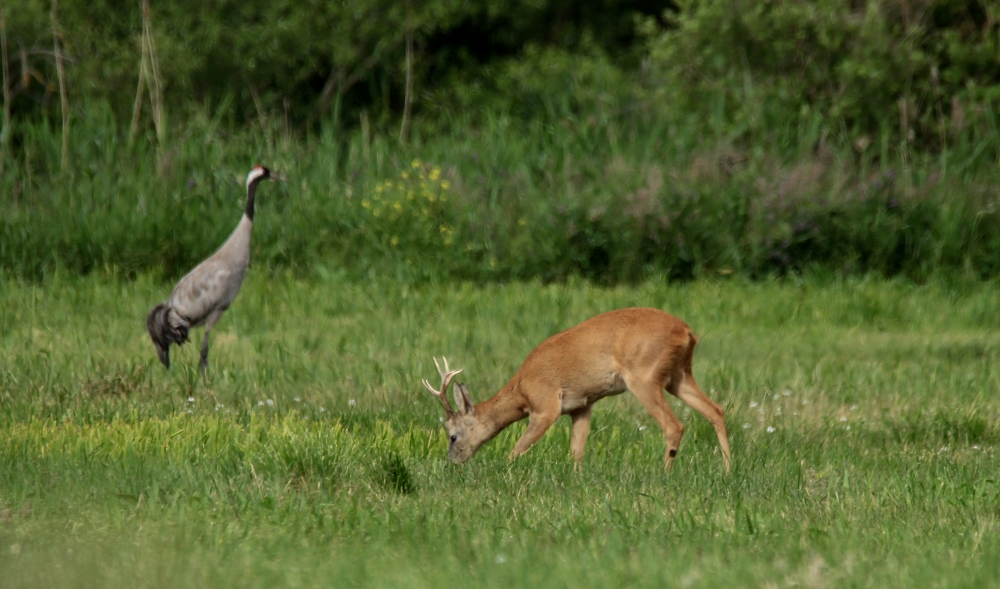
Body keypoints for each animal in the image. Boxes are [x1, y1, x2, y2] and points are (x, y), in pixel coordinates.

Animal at [418, 308, 732, 468]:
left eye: (453, 436)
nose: (451, 464)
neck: (521, 390)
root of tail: (687, 332)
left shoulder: (546, 405)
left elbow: (517, 449)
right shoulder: (582, 406)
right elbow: (577, 452)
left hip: (644, 377)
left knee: (674, 425)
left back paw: (664, 474)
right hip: (678, 375)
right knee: (716, 410)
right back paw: (728, 470)